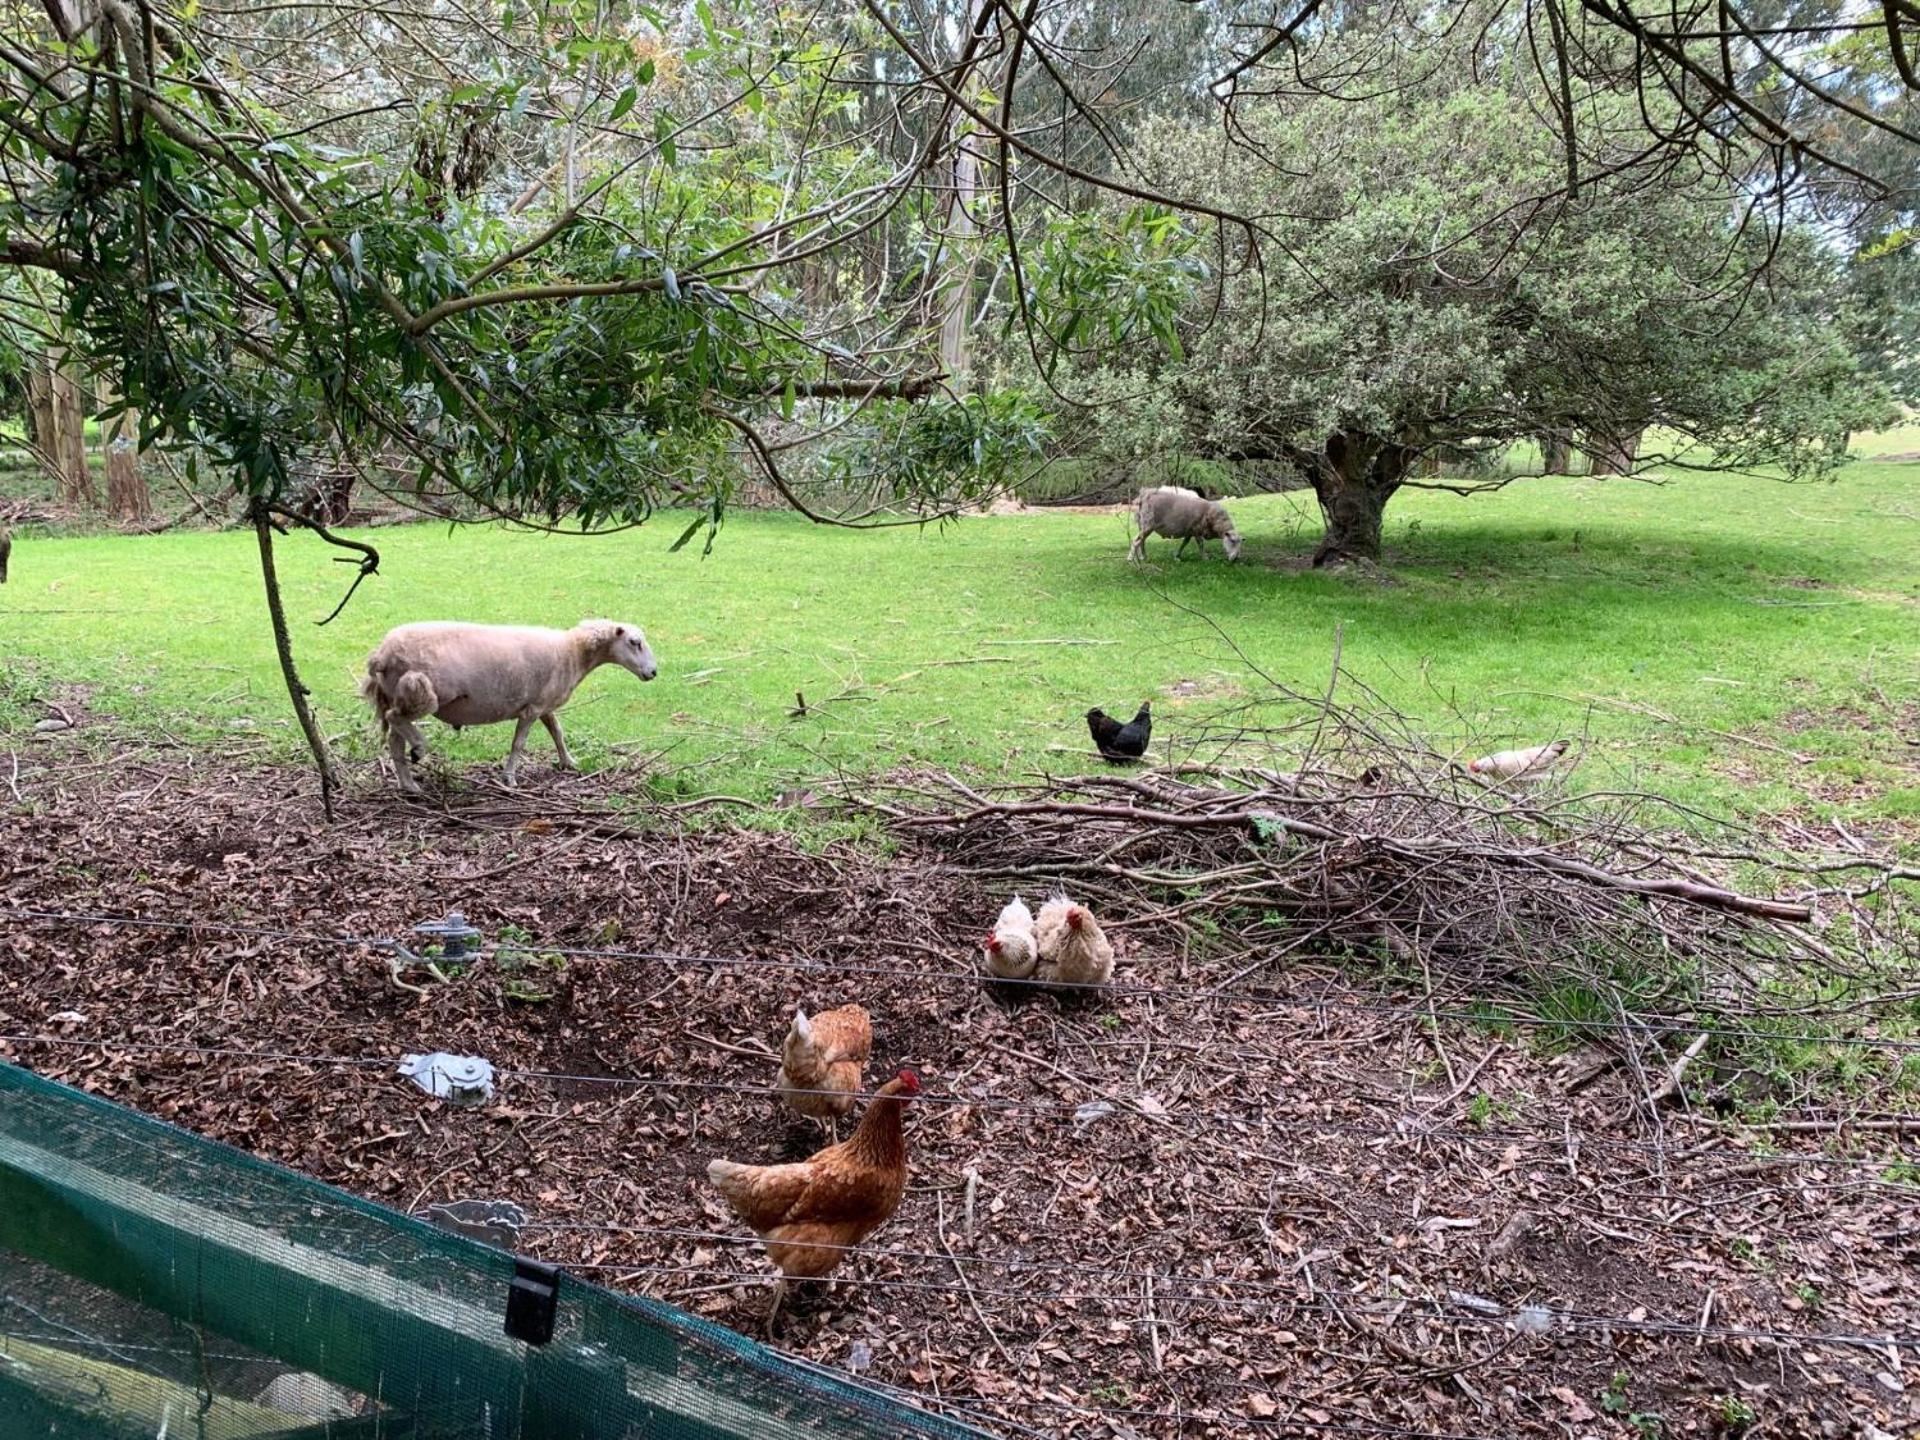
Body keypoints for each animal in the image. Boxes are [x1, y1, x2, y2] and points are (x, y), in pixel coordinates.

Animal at [360, 622, 660, 794]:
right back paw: (419, 748)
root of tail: (381, 655)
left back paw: (409, 785)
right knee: (396, 718)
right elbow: (519, 744)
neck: (573, 652)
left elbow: (557, 732)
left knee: (395, 737)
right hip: (420, 690)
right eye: (634, 642)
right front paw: (510, 778)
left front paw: (568, 762)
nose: (654, 672)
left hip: (398, 693)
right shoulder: (531, 708)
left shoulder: (544, 704)